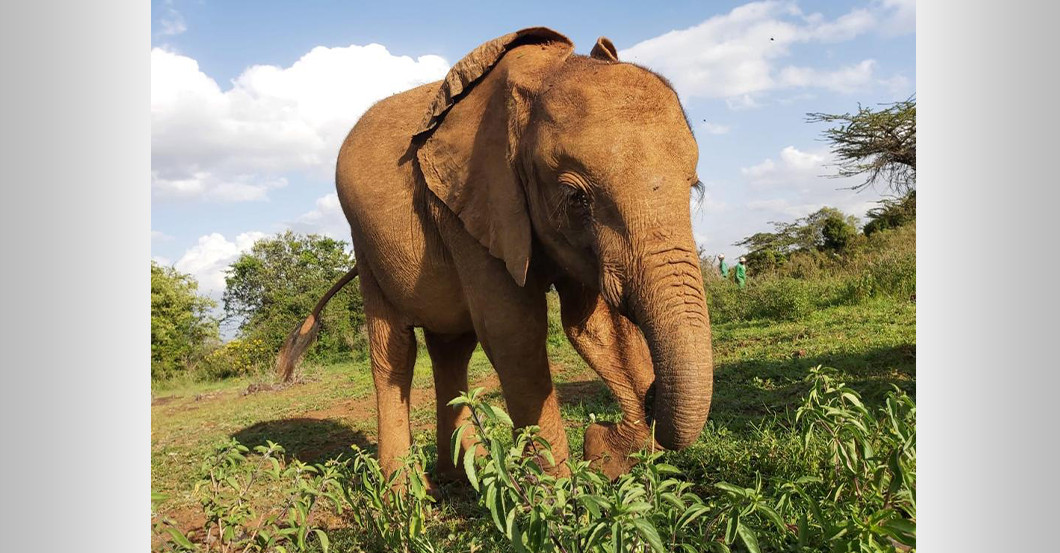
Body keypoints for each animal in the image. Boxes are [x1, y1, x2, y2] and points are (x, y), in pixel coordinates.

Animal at [277, 27, 713, 481]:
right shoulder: (469, 204)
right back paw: (408, 493)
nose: (650, 397)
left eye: (694, 187)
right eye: (576, 198)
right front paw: (559, 492)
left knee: (451, 348)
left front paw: (607, 457)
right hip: (365, 244)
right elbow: (514, 331)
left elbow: (596, 327)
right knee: (394, 352)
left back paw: (458, 480)